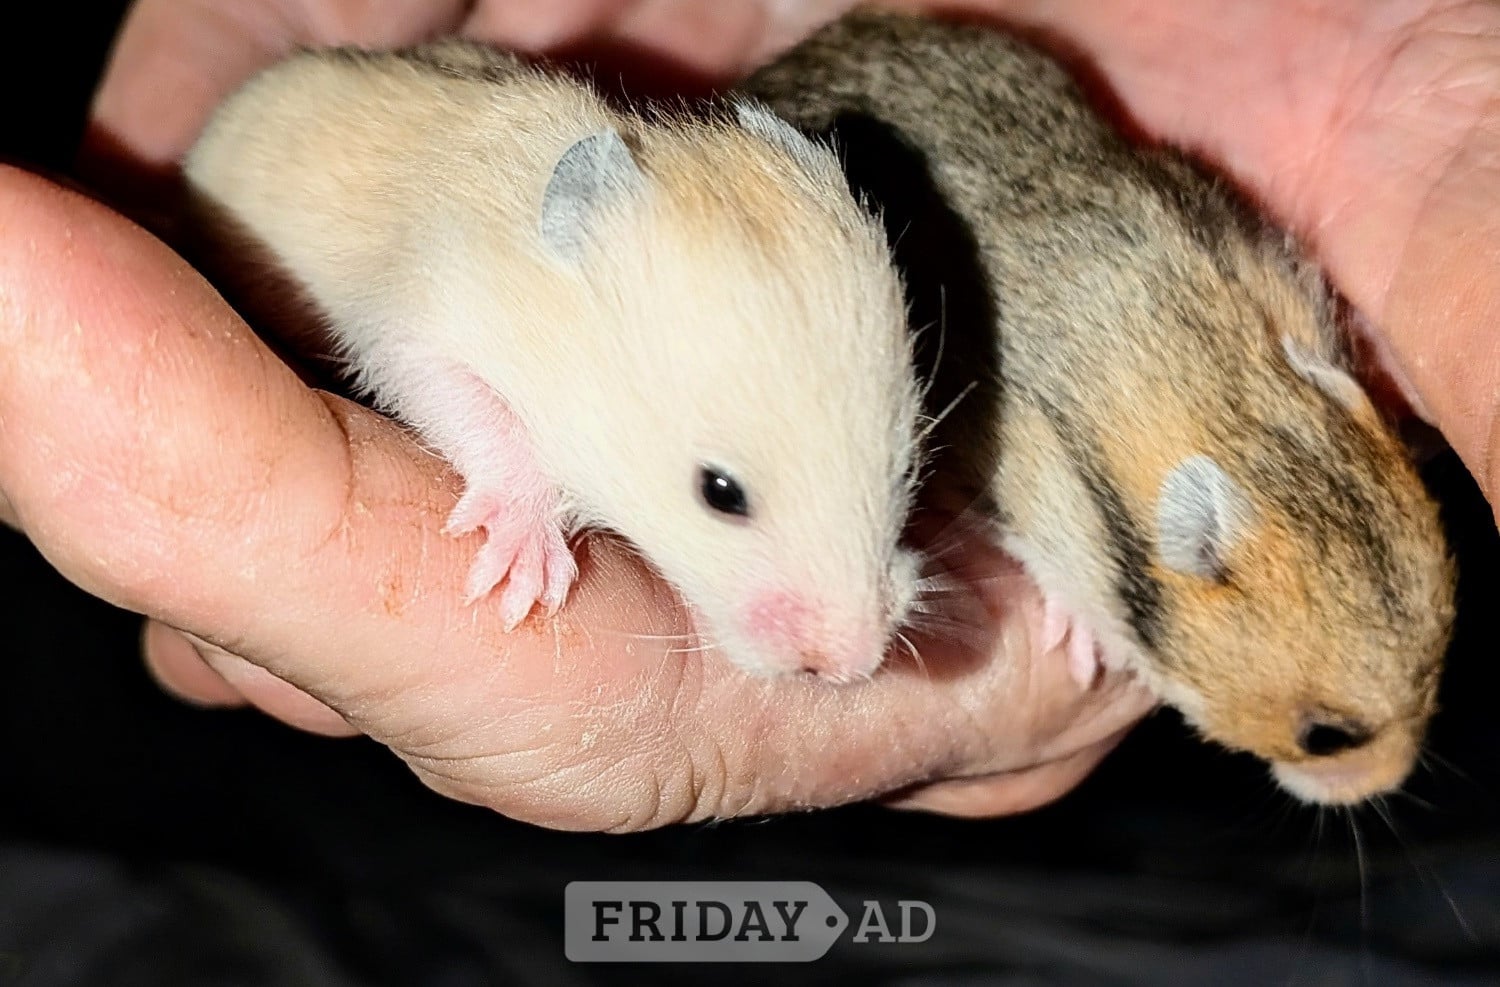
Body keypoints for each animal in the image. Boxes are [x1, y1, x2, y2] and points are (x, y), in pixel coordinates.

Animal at [184, 40, 924, 682]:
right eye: (720, 493)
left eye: (904, 471)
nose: (855, 667)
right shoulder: (424, 326)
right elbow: (483, 416)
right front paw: (525, 579)